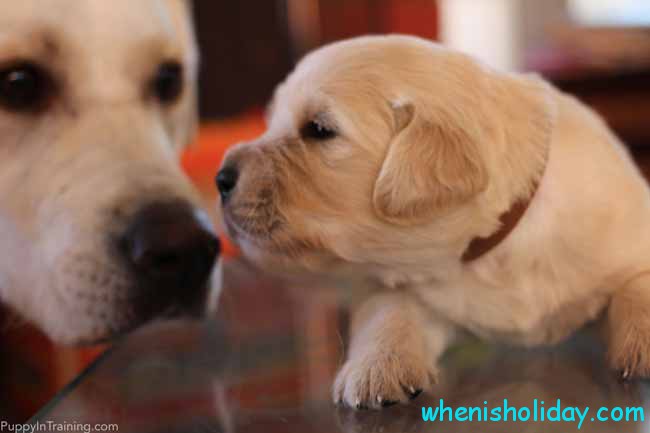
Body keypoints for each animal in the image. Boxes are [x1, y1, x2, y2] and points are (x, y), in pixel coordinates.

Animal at [216, 34, 648, 408]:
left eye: (319, 130)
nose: (221, 178)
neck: (485, 254)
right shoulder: (392, 287)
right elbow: (390, 311)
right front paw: (377, 370)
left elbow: (637, 285)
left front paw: (640, 347)